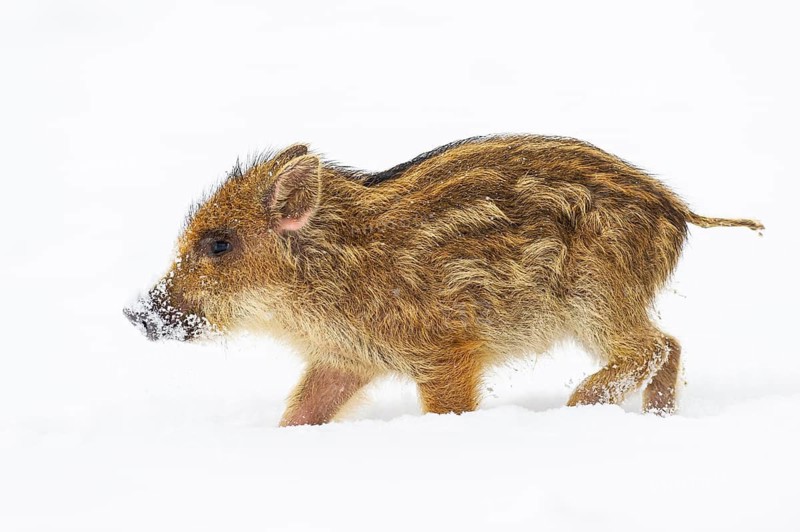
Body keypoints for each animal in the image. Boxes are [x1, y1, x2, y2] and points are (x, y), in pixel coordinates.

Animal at [124, 135, 763, 425]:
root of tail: (675, 207)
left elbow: (448, 410)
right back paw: (656, 418)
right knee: (670, 345)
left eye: (219, 243)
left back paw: (576, 408)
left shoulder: (447, 350)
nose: (138, 313)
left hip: (597, 298)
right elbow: (301, 414)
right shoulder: (343, 359)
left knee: (652, 346)